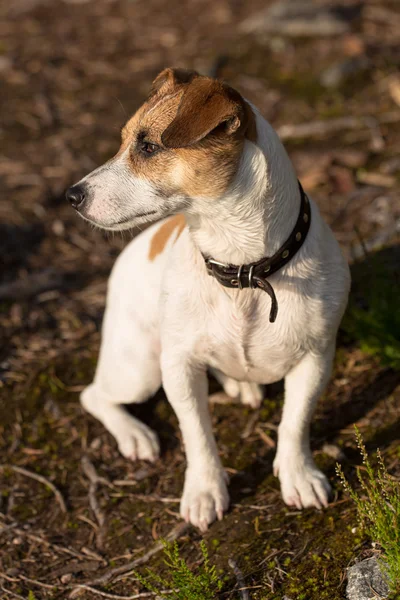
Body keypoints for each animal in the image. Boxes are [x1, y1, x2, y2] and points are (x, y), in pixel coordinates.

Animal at [66, 68, 350, 532]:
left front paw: (298, 475)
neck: (244, 269)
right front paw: (204, 491)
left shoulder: (315, 359)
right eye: (124, 142)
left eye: (148, 147)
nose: (71, 196)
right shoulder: (179, 366)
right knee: (94, 395)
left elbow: (294, 422)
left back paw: (239, 384)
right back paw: (135, 435)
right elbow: (197, 434)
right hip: (140, 368)